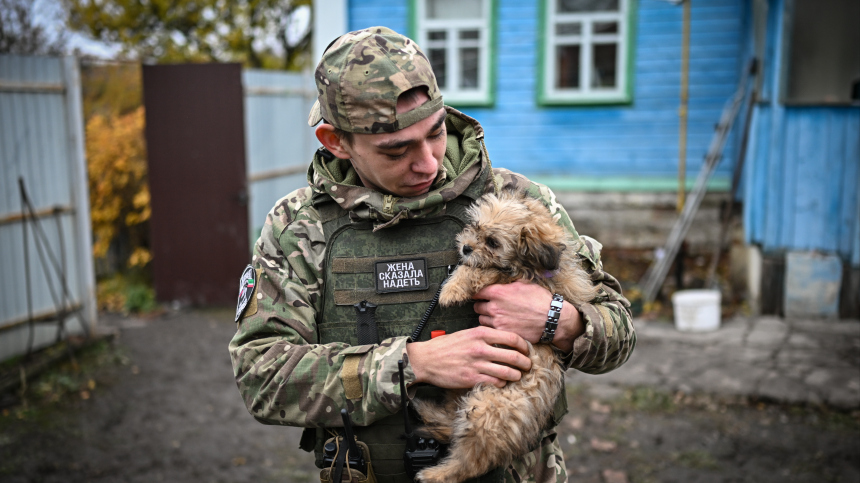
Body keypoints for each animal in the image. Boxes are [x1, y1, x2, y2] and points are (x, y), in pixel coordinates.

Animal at [412, 190, 596, 483]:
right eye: (475, 227)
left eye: (493, 242)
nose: (466, 248)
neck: (529, 264)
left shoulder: (509, 277)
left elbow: (479, 270)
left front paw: (451, 289)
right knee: (451, 422)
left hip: (486, 410)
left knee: (471, 461)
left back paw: (435, 474)